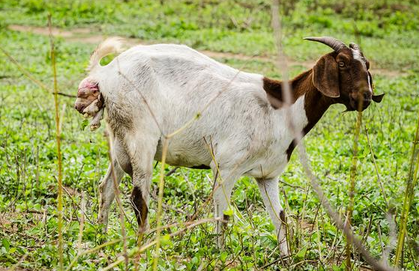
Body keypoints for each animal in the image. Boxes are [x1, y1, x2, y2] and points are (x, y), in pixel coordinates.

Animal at [74, 36, 384, 258]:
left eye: (366, 66)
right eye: (342, 63)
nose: (367, 97)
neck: (281, 108)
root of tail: (105, 73)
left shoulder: (268, 175)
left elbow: (280, 218)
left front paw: (286, 258)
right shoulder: (225, 167)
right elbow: (222, 216)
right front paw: (219, 254)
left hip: (119, 140)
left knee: (107, 189)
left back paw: (101, 237)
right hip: (141, 137)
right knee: (139, 199)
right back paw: (145, 245)